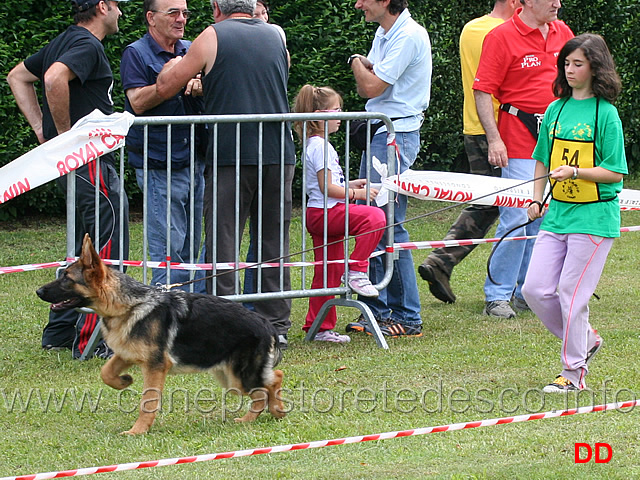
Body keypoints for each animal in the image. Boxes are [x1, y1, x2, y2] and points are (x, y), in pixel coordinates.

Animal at [35, 234, 284, 434]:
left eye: (67, 278)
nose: (38, 291)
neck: (128, 305)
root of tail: (266, 324)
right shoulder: (126, 354)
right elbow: (105, 373)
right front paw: (124, 381)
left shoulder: (155, 366)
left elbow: (148, 401)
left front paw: (137, 431)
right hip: (227, 375)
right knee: (274, 378)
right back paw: (275, 410)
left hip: (237, 377)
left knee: (266, 387)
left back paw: (259, 415)